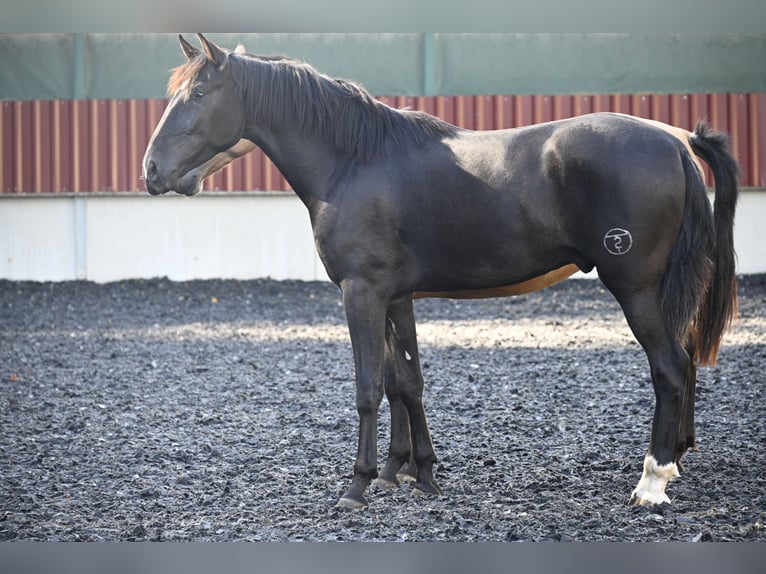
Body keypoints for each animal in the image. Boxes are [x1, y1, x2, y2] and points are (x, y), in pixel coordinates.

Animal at [141, 33, 740, 510]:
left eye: (198, 95)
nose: (151, 171)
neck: (355, 161)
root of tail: (674, 140)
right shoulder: (395, 297)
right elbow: (404, 382)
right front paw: (412, 472)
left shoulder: (361, 293)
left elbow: (368, 387)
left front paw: (359, 485)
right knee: (686, 361)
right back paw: (675, 460)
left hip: (636, 289)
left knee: (669, 366)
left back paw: (651, 482)